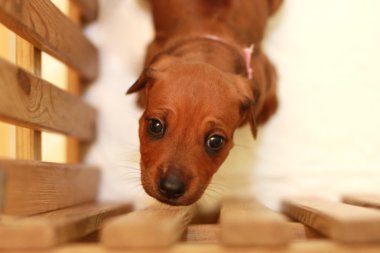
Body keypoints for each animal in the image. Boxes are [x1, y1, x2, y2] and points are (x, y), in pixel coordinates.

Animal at [126, 0, 280, 206]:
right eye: (155, 126)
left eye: (215, 141)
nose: (171, 188)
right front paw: (141, 97)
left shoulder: (264, 69)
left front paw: (267, 109)